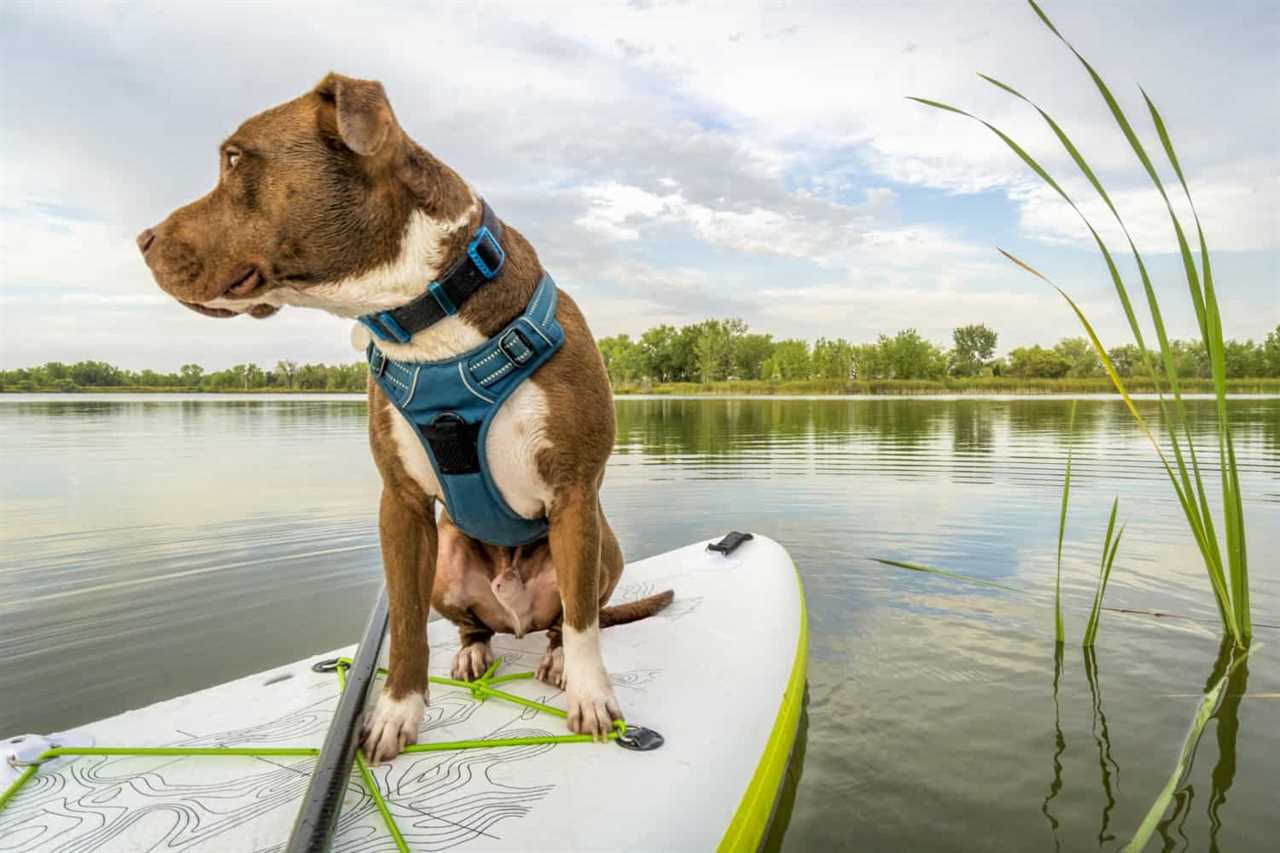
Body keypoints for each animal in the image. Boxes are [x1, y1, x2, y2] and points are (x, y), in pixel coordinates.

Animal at [140, 73, 670, 758]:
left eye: (233, 158)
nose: (142, 241)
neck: (426, 316)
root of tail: (515, 616)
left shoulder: (575, 493)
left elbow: (582, 624)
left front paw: (591, 698)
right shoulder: (402, 506)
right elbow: (407, 623)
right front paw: (397, 712)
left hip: (604, 547)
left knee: (568, 619)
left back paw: (551, 660)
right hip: (447, 561)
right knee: (475, 626)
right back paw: (473, 653)